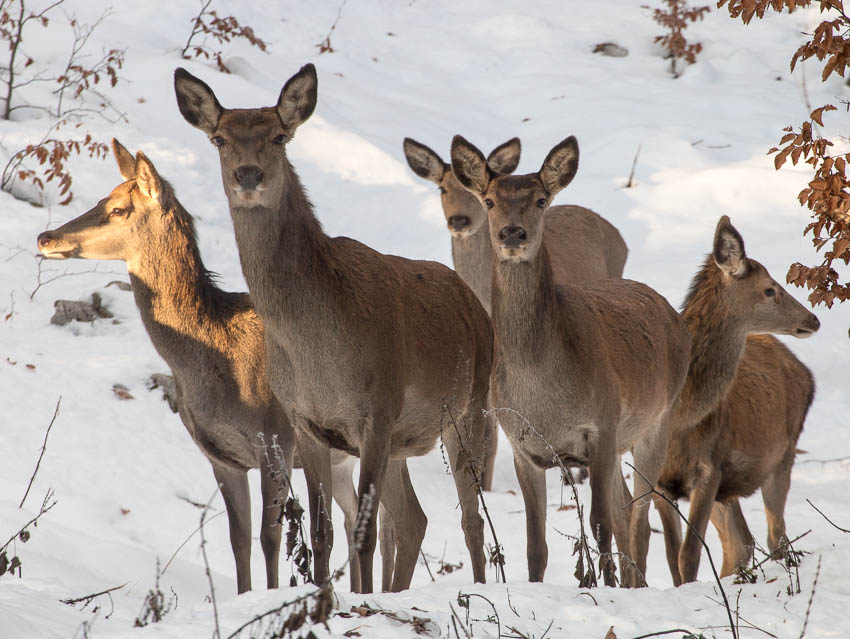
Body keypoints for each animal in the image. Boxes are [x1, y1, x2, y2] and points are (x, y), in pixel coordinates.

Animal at [38, 139, 396, 596]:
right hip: (342, 457)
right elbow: (238, 540)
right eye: (103, 198)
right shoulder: (220, 455)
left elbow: (269, 536)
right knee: (359, 518)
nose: (46, 237)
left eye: (118, 208)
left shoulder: (275, 438)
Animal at [172, 66, 490, 596]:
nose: (248, 175)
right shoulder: (307, 423)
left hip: (472, 408)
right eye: (219, 139)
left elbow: (363, 530)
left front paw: (360, 599)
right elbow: (322, 532)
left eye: (279, 136)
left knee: (470, 518)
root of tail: (476, 306)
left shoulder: (377, 410)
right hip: (405, 440)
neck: (317, 345)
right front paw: (325, 594)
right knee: (415, 518)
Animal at [448, 135, 692, 592]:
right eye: (489, 201)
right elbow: (535, 543)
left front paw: (602, 586)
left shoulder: (601, 425)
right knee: (626, 509)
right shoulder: (522, 444)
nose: (512, 233)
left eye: (541, 200)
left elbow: (599, 525)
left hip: (658, 422)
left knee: (639, 514)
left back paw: (635, 585)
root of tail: (673, 313)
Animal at [644, 218, 820, 588]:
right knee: (742, 542)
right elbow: (672, 557)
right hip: (731, 487)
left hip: (783, 456)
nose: (813, 319)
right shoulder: (659, 480)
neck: (680, 416)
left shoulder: (709, 467)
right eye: (769, 289)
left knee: (775, 536)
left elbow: (689, 555)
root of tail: (805, 372)